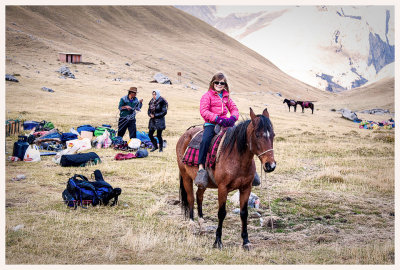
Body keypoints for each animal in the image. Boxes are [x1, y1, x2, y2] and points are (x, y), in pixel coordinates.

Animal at [177, 107, 276, 249]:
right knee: (191, 199)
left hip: (203, 182)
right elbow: (221, 213)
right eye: (257, 135)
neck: (237, 159)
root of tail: (185, 134)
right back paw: (192, 225)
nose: (270, 165)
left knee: (199, 196)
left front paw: (246, 241)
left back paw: (202, 225)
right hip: (186, 177)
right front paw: (218, 241)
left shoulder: (246, 188)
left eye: (273, 135)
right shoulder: (222, 188)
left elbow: (244, 213)